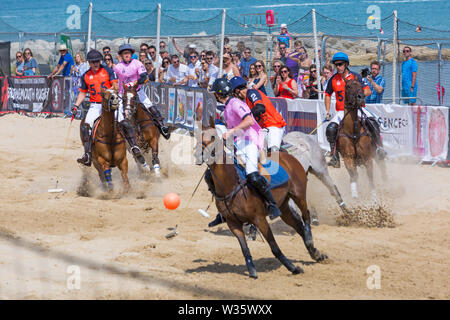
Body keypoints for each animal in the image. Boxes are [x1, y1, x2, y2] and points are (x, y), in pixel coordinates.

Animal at [197, 119, 326, 278]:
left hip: (299, 194)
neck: (230, 184)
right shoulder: (233, 223)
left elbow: (274, 246)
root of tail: (288, 156)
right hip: (283, 206)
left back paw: (309, 239)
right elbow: (244, 248)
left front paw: (293, 268)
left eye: (213, 137)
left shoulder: (259, 219)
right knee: (298, 225)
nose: (198, 154)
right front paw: (252, 270)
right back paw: (315, 253)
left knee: (306, 215)